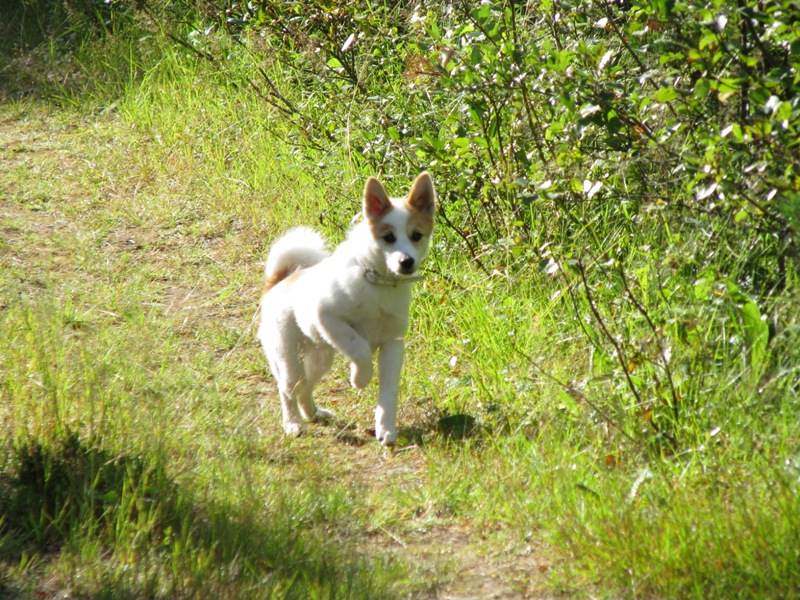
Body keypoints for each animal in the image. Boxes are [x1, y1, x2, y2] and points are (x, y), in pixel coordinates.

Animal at [257, 173, 436, 446]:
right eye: (388, 237)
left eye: (416, 235)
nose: (406, 262)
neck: (378, 282)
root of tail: (279, 283)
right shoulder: (327, 317)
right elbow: (359, 347)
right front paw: (359, 378)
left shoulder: (393, 344)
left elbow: (389, 392)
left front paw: (386, 429)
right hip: (288, 358)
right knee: (288, 389)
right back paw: (293, 423)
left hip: (321, 357)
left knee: (306, 387)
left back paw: (314, 413)